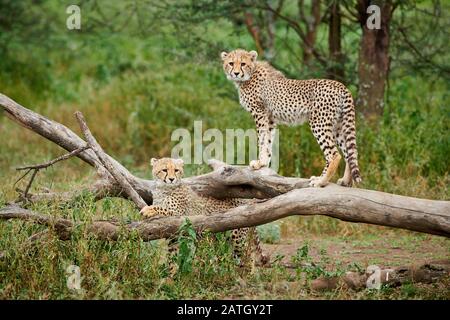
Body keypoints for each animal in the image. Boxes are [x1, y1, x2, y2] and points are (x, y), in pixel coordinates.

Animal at [140, 158, 268, 270]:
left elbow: (162, 208)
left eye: (176, 170)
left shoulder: (179, 214)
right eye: (164, 170)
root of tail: (247, 201)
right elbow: (172, 256)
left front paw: (147, 210)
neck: (163, 189)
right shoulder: (174, 234)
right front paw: (170, 275)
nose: (171, 179)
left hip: (237, 237)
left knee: (248, 257)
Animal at [221, 48, 362, 188]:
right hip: (338, 125)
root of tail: (341, 85)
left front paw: (259, 162)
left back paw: (321, 181)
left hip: (319, 123)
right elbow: (268, 140)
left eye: (243, 64)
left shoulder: (260, 114)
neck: (249, 75)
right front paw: (263, 163)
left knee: (334, 155)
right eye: (231, 63)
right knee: (349, 153)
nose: (236, 73)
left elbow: (262, 139)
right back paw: (345, 181)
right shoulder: (270, 118)